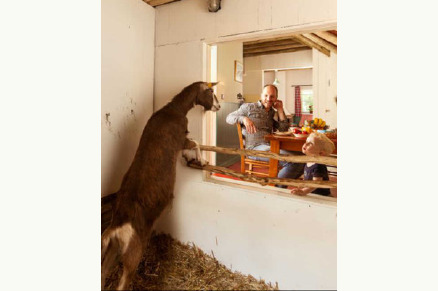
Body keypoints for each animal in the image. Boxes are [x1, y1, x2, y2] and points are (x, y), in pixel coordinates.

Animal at [101, 81, 221, 290]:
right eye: (210, 91)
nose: (218, 106)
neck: (174, 109)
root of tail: (116, 228)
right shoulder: (181, 139)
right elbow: (195, 143)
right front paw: (201, 160)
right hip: (133, 254)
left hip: (111, 251)